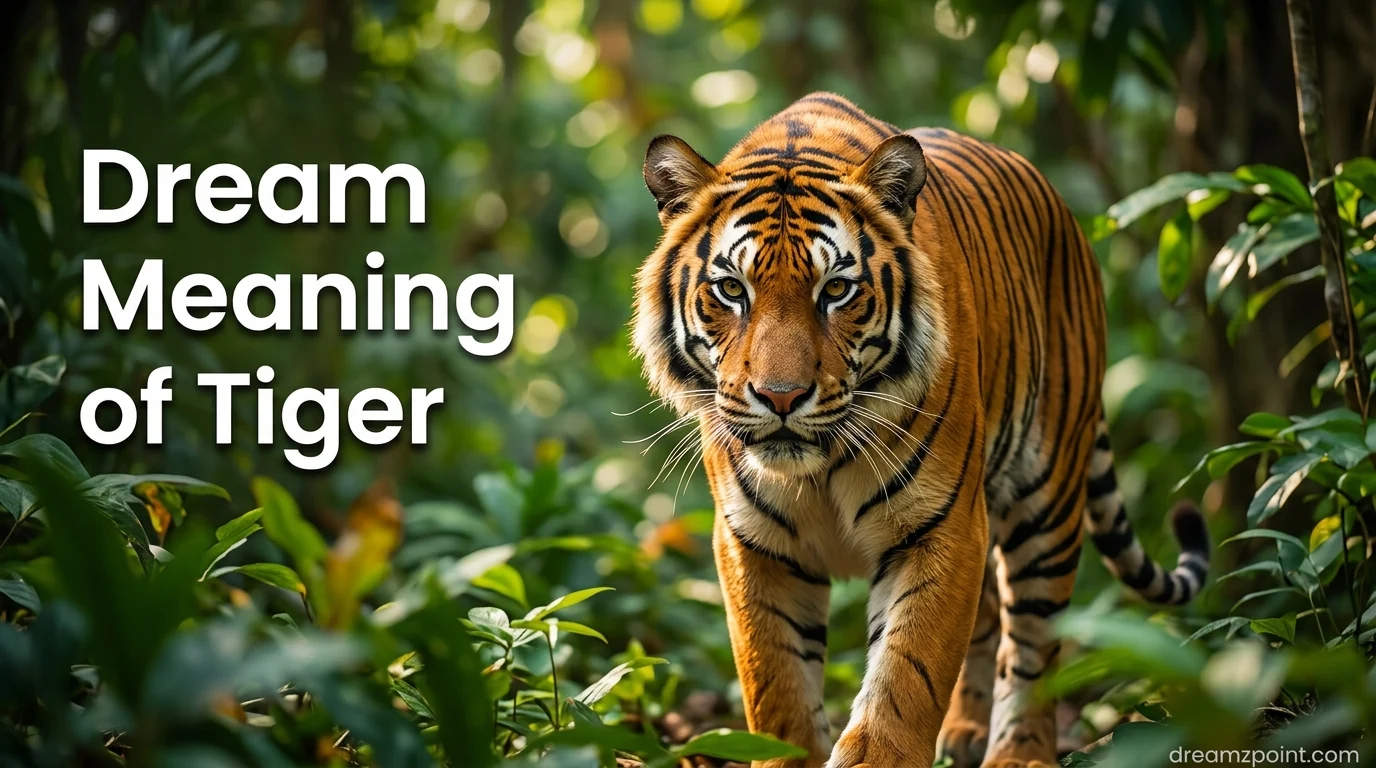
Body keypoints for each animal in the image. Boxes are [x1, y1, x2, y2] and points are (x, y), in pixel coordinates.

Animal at [630, 93, 1211, 768]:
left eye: (836, 289)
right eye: (730, 289)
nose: (781, 397)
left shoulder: (941, 524)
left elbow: (906, 676)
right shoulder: (756, 544)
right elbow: (777, 689)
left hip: (1047, 501)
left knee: (1034, 646)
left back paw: (1018, 752)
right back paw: (965, 731)